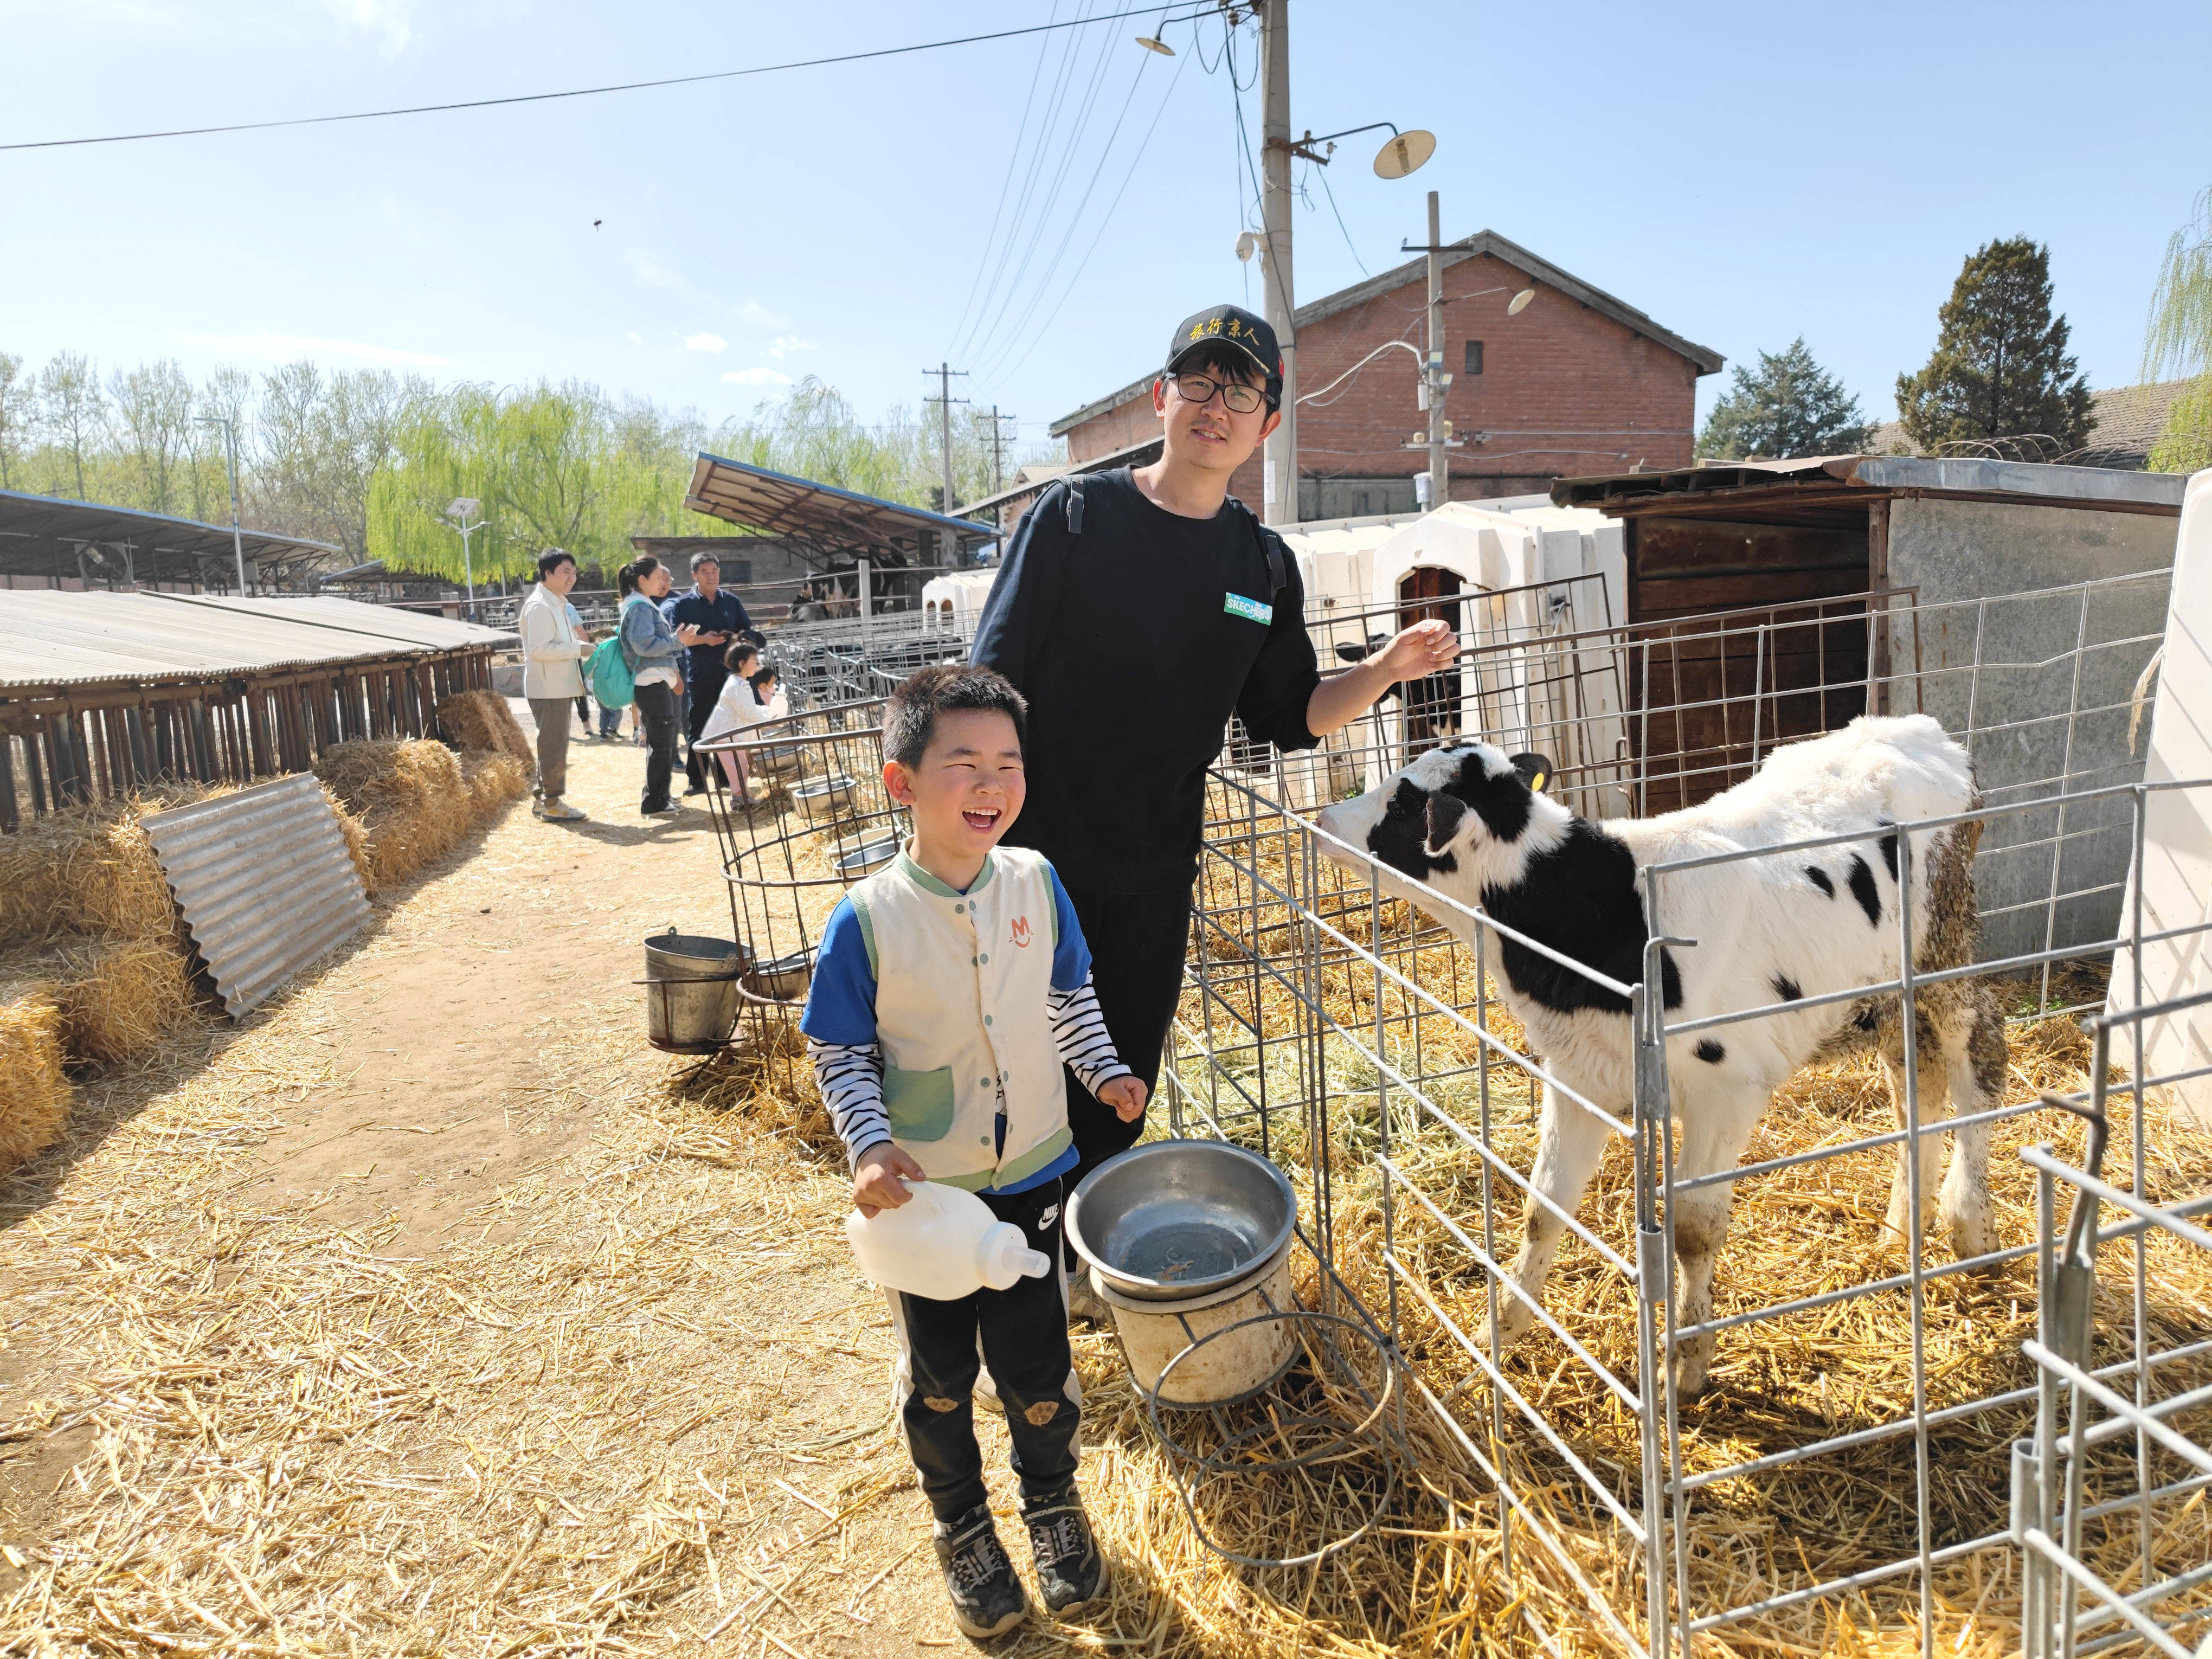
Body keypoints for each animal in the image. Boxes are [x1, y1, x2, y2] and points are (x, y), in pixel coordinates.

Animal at [1309, 716, 2008, 1406]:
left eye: (1403, 804)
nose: (1324, 817)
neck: (1601, 914)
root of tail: (1926, 732)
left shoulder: (1726, 1089)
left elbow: (1692, 1230)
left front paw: (1687, 1368)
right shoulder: (1579, 1075)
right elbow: (1543, 1209)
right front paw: (1497, 1334)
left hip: (1945, 947)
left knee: (1978, 1060)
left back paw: (1969, 1226)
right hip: (1886, 993)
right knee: (1917, 1082)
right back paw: (1901, 1230)